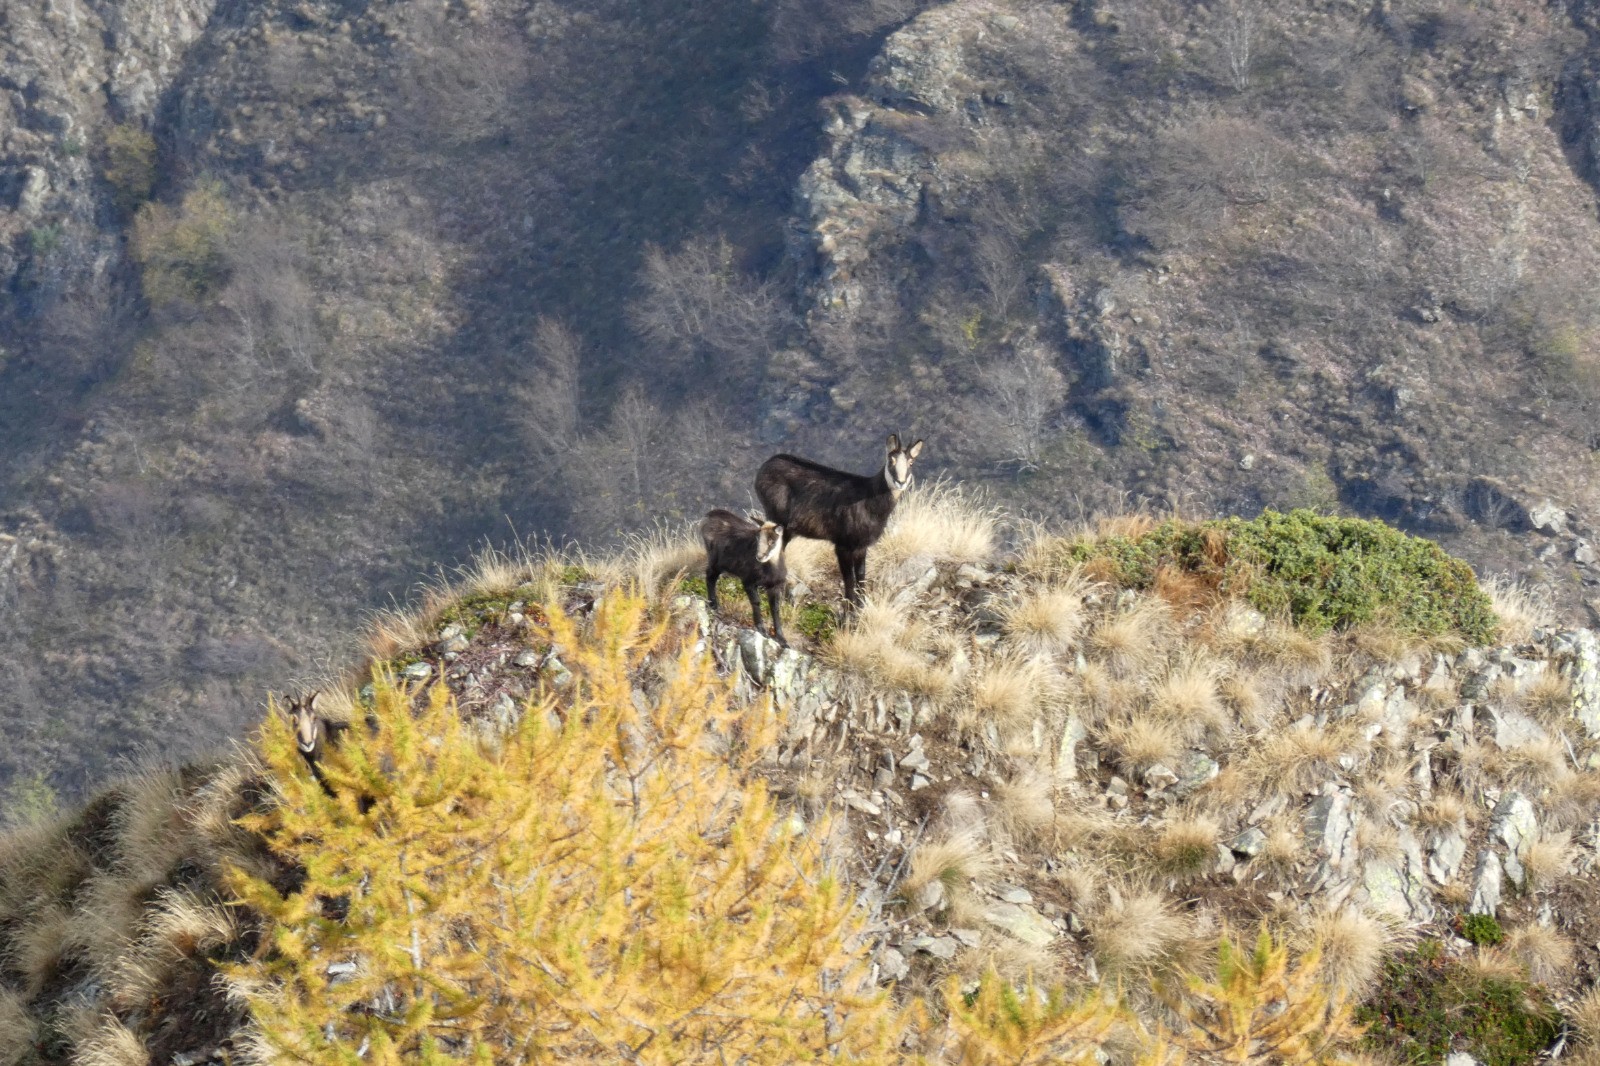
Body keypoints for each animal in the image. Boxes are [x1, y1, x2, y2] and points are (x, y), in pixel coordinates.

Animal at [700, 508, 788, 645]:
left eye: (771, 541)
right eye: (757, 538)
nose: (759, 557)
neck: (770, 569)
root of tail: (709, 515)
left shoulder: (775, 586)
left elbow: (775, 608)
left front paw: (782, 639)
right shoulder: (748, 580)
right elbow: (756, 602)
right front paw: (761, 629)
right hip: (716, 560)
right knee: (710, 577)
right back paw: (713, 605)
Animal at [755, 433, 923, 610]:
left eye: (911, 462)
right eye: (891, 460)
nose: (901, 482)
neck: (871, 501)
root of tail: (766, 466)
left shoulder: (861, 546)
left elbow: (861, 574)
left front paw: (861, 606)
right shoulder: (843, 545)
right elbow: (849, 579)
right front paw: (850, 611)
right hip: (777, 519)